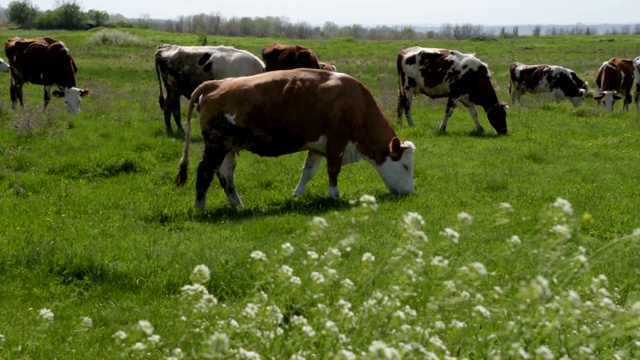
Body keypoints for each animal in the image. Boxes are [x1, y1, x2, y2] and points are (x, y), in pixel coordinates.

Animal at [175, 68, 418, 211]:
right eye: (406, 166)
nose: (411, 193)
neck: (356, 102)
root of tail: (216, 84)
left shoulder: (318, 147)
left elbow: (308, 170)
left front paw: (297, 194)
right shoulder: (336, 141)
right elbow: (333, 170)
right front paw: (334, 196)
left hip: (228, 147)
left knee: (225, 175)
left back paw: (238, 205)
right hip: (216, 145)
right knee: (205, 171)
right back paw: (200, 207)